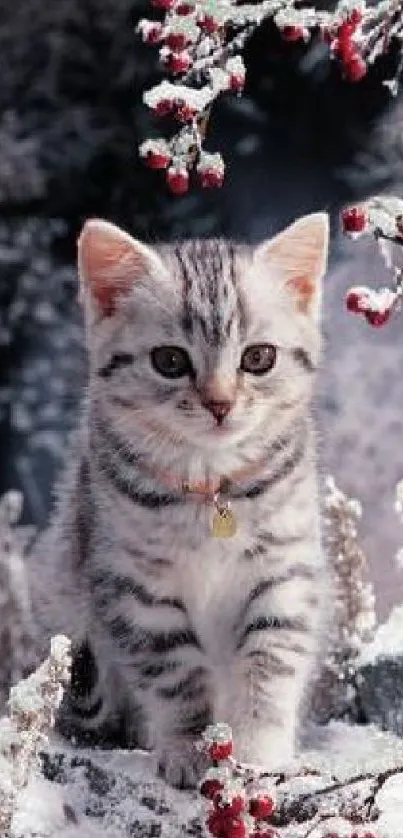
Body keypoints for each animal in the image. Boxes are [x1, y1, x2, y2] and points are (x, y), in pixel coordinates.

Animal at [30, 213, 330, 792]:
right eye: (169, 361)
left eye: (259, 358)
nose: (220, 403)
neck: (209, 490)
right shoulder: (134, 586)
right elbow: (176, 673)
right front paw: (191, 748)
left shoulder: (284, 570)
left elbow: (269, 659)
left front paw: (259, 748)